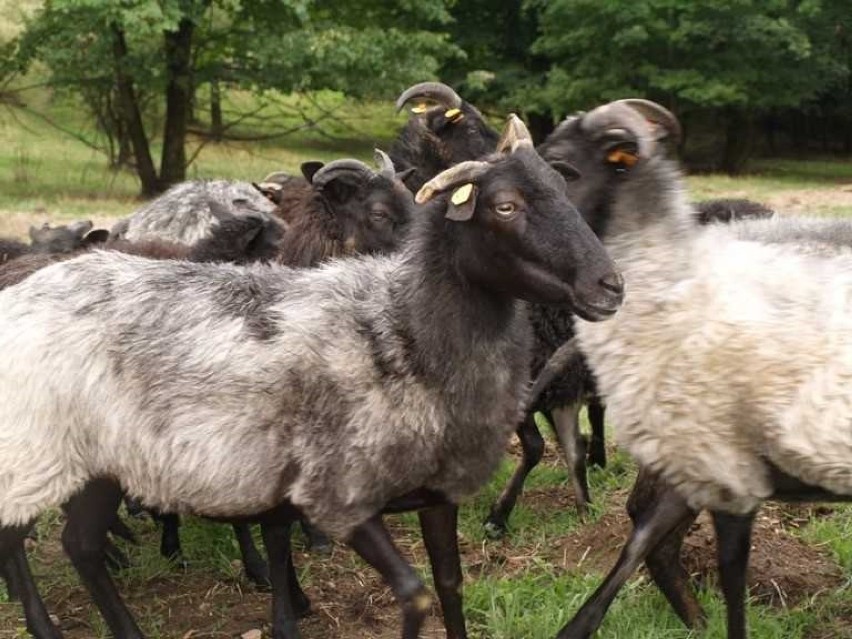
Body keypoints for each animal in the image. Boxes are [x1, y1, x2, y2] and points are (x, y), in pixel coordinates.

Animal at [0, 115, 624, 639]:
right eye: (505, 206)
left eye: (563, 189)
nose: (610, 285)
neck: (404, 332)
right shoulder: (338, 495)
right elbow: (412, 593)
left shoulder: (435, 497)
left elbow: (449, 586)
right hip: (42, 447)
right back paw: (45, 623)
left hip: (102, 463)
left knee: (80, 544)